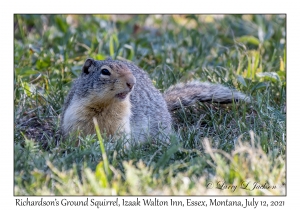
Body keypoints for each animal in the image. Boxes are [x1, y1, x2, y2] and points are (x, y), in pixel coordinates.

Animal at [59, 58, 250, 144]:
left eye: (130, 69)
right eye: (105, 72)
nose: (132, 82)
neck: (105, 105)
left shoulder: (121, 124)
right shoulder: (77, 118)